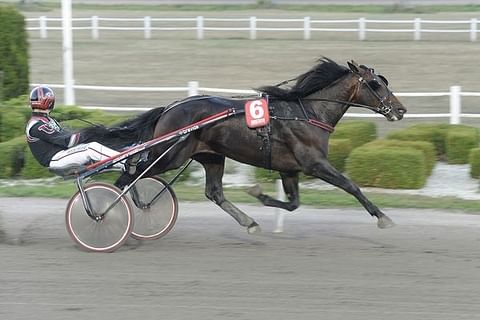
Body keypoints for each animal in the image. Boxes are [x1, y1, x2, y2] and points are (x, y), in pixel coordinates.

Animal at [80, 57, 406, 232]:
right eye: (376, 84)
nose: (400, 110)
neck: (309, 113)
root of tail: (171, 108)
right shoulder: (314, 163)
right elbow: (351, 185)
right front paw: (383, 217)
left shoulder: (290, 168)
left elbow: (293, 203)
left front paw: (258, 194)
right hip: (171, 154)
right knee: (130, 171)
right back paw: (108, 210)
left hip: (211, 156)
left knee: (213, 192)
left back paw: (248, 222)